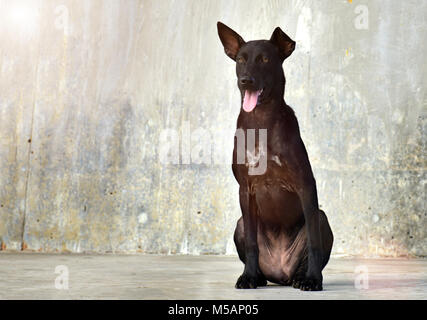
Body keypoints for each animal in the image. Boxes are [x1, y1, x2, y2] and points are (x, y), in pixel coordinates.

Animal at [217, 21, 334, 292]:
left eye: (265, 59)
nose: (245, 80)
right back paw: (258, 276)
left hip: (322, 218)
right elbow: (252, 242)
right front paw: (248, 277)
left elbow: (313, 243)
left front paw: (313, 280)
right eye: (241, 59)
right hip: (239, 223)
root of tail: (281, 274)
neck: (260, 121)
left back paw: (303, 277)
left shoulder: (306, 186)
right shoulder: (245, 189)